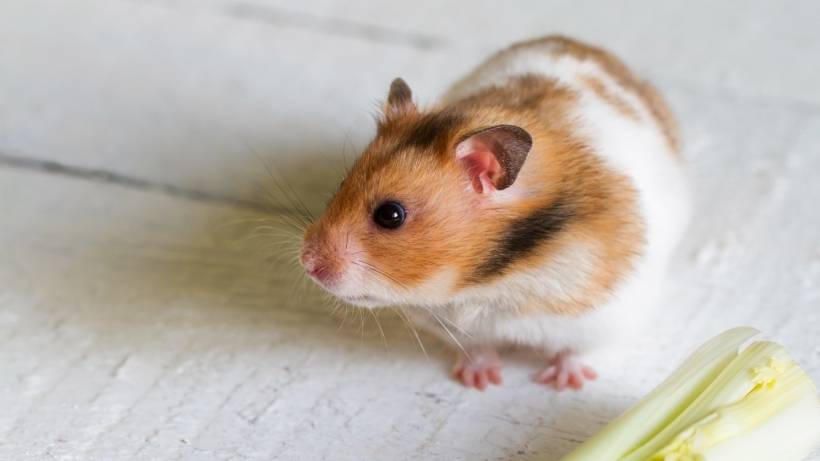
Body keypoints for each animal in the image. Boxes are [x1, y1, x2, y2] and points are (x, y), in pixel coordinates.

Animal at [300, 36, 689, 391]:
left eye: (390, 215)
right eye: (342, 183)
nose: (307, 263)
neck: (492, 281)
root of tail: (587, 45)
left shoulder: (607, 316)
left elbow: (576, 351)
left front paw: (564, 383)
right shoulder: (451, 324)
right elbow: (476, 348)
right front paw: (481, 381)